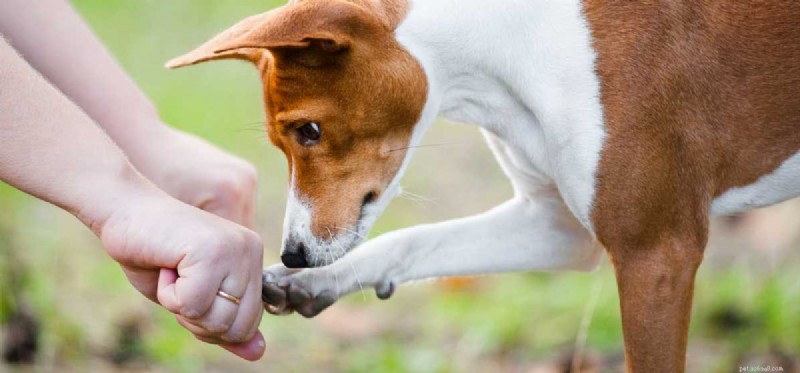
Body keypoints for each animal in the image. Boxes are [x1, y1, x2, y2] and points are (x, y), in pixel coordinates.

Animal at [167, 1, 800, 370]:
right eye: (287, 141)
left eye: (309, 130)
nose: (295, 253)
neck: (522, 45)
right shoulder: (558, 230)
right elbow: (413, 240)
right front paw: (315, 281)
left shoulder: (657, 253)